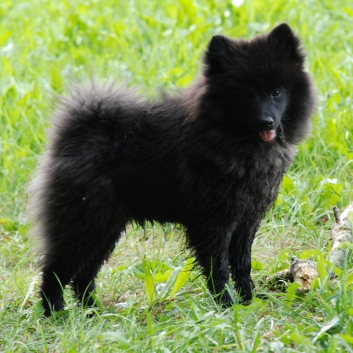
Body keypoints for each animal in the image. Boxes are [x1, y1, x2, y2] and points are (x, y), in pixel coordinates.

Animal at [28, 22, 314, 314]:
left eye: (276, 92)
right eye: (244, 96)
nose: (266, 122)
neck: (230, 139)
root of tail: (76, 129)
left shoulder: (247, 219)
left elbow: (242, 264)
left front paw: (249, 299)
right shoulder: (214, 222)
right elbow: (218, 268)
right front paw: (226, 305)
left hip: (106, 226)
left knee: (84, 273)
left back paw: (93, 311)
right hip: (85, 221)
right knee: (55, 270)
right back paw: (55, 312)